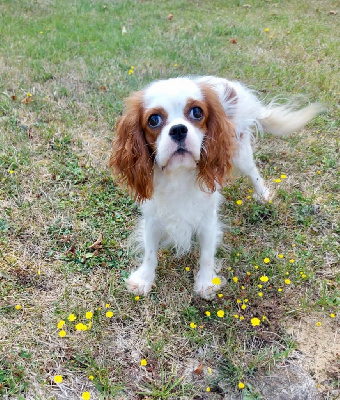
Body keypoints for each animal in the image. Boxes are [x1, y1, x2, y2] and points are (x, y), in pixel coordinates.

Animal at [109, 76, 322, 298]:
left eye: (197, 112)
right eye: (153, 120)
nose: (178, 129)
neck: (178, 174)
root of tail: (231, 84)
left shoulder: (208, 219)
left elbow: (207, 254)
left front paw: (206, 282)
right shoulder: (152, 216)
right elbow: (150, 252)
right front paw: (144, 279)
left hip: (240, 152)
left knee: (253, 172)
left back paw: (262, 194)